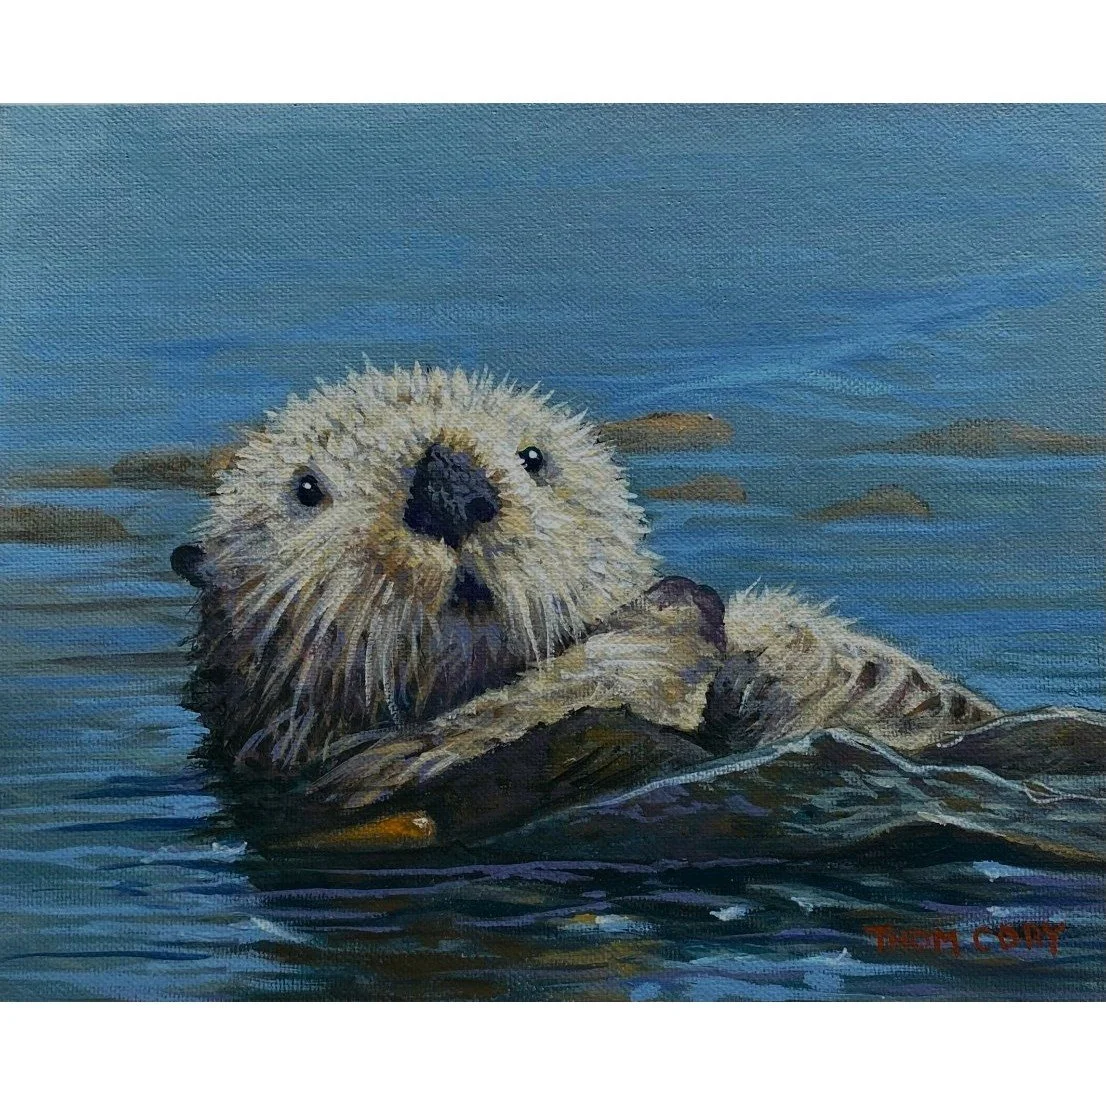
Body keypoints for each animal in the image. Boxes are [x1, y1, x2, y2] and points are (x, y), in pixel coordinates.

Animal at [173, 365, 998, 826]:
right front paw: (674, 615)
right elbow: (506, 716)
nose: (448, 487)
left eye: (535, 458)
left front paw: (809, 658)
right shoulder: (348, 780)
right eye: (306, 490)